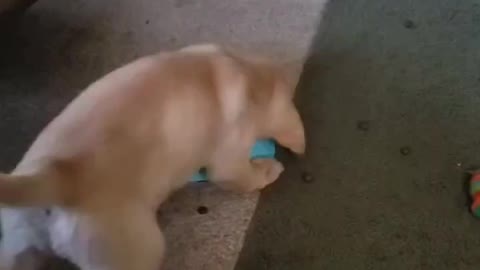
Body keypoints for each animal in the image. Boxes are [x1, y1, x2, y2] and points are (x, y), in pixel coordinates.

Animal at [0, 44, 304, 270]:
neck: (250, 74)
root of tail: (56, 175)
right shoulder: (230, 154)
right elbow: (242, 176)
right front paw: (269, 169)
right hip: (134, 248)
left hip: (18, 243)